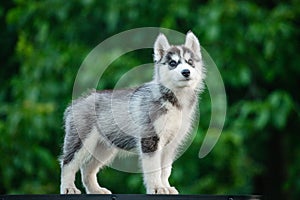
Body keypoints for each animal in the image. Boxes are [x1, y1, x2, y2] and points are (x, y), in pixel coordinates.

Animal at [61, 31, 206, 194]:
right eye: (173, 63)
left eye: (190, 62)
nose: (186, 72)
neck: (174, 100)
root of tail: (76, 102)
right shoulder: (150, 140)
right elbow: (154, 168)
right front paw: (157, 188)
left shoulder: (171, 143)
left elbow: (165, 169)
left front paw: (166, 187)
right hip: (81, 142)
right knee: (67, 163)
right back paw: (68, 188)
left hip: (104, 147)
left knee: (87, 168)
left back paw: (96, 190)